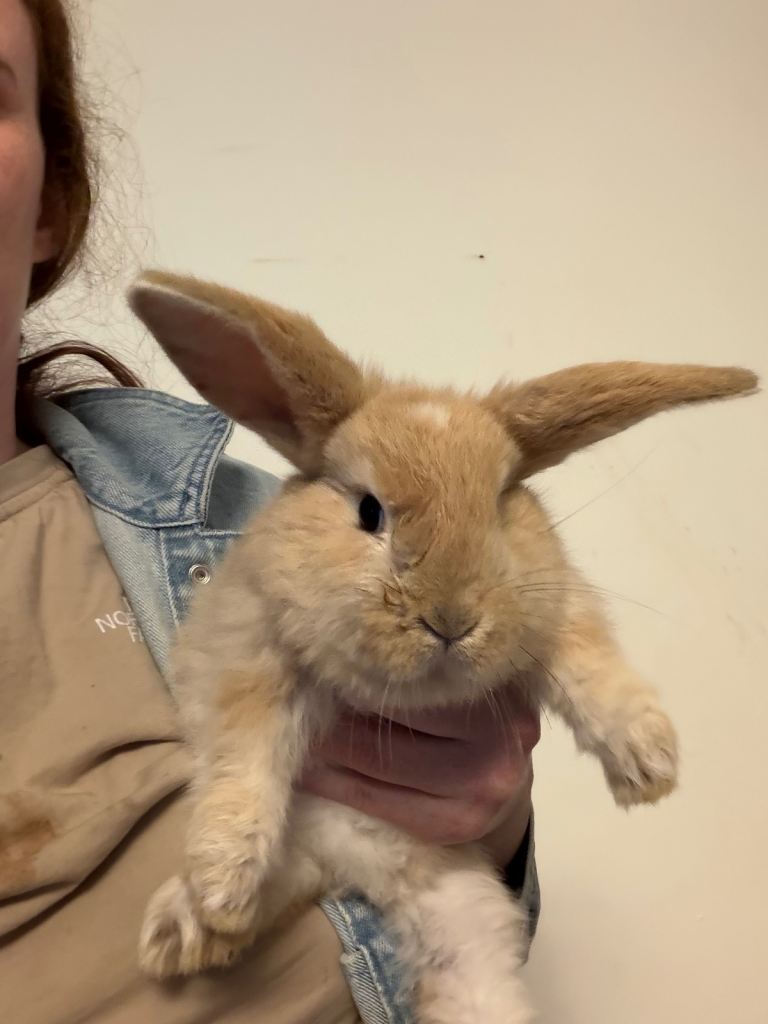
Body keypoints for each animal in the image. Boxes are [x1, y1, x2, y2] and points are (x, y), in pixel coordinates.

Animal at [127, 269, 757, 1024]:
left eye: (498, 508)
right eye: (369, 511)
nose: (451, 619)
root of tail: (359, 868)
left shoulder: (556, 608)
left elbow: (591, 668)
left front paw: (650, 764)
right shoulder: (250, 655)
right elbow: (244, 759)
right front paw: (222, 883)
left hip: (462, 923)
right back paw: (188, 927)